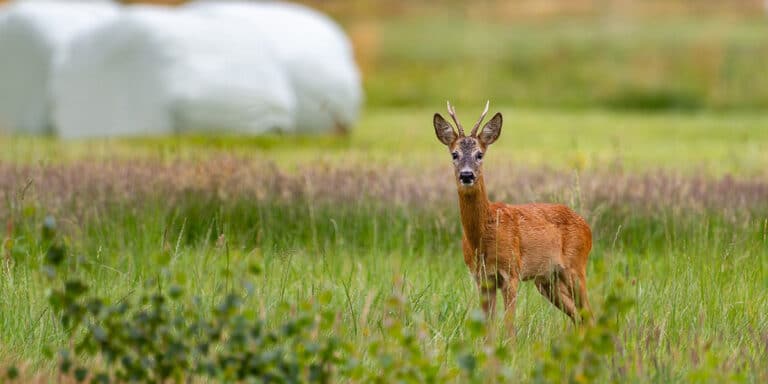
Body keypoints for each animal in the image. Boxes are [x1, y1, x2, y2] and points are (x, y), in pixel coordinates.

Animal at [432, 100, 592, 334]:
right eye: (455, 154)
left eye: (480, 154)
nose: (467, 175)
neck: (483, 236)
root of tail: (587, 227)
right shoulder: (482, 278)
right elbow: (487, 328)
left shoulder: (511, 272)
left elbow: (509, 326)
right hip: (547, 280)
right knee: (579, 316)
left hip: (576, 267)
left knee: (589, 313)